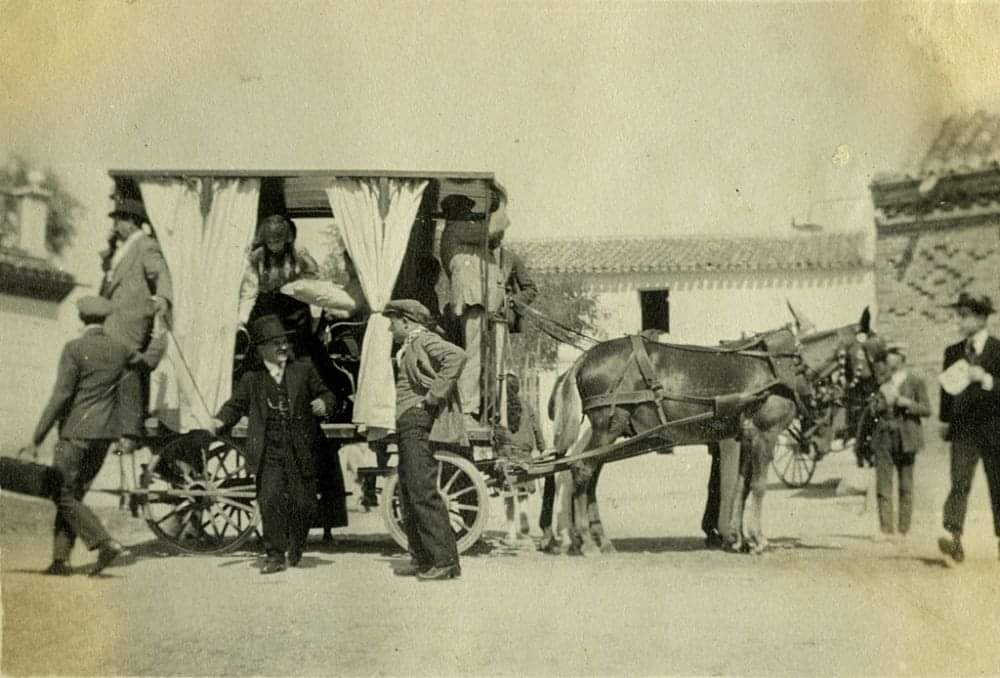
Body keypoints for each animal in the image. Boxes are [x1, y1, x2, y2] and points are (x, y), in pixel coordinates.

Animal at [540, 314, 868, 556]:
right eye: (872, 350)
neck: (782, 367)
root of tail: (582, 359)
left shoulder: (746, 435)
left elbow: (740, 485)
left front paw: (738, 538)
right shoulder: (765, 433)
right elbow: (758, 486)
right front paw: (757, 540)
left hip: (608, 433)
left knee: (583, 473)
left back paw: (595, 540)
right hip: (608, 427)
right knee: (581, 470)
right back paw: (585, 541)